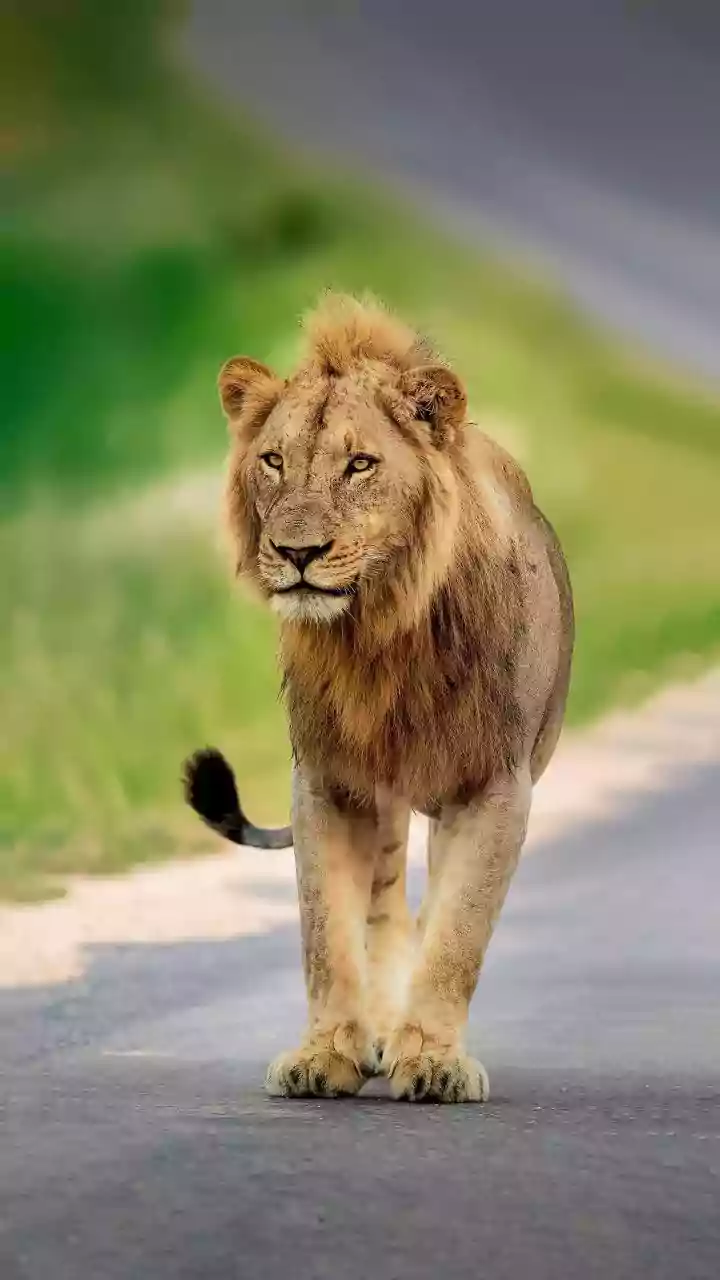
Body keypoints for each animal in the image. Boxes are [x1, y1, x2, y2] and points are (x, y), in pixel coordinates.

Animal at [184, 293, 573, 1103]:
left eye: (359, 464)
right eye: (273, 461)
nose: (297, 553)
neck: (378, 634)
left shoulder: (494, 785)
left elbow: (458, 931)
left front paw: (432, 1060)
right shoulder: (328, 782)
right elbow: (326, 932)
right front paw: (326, 1053)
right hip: (385, 800)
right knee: (385, 912)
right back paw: (377, 1033)